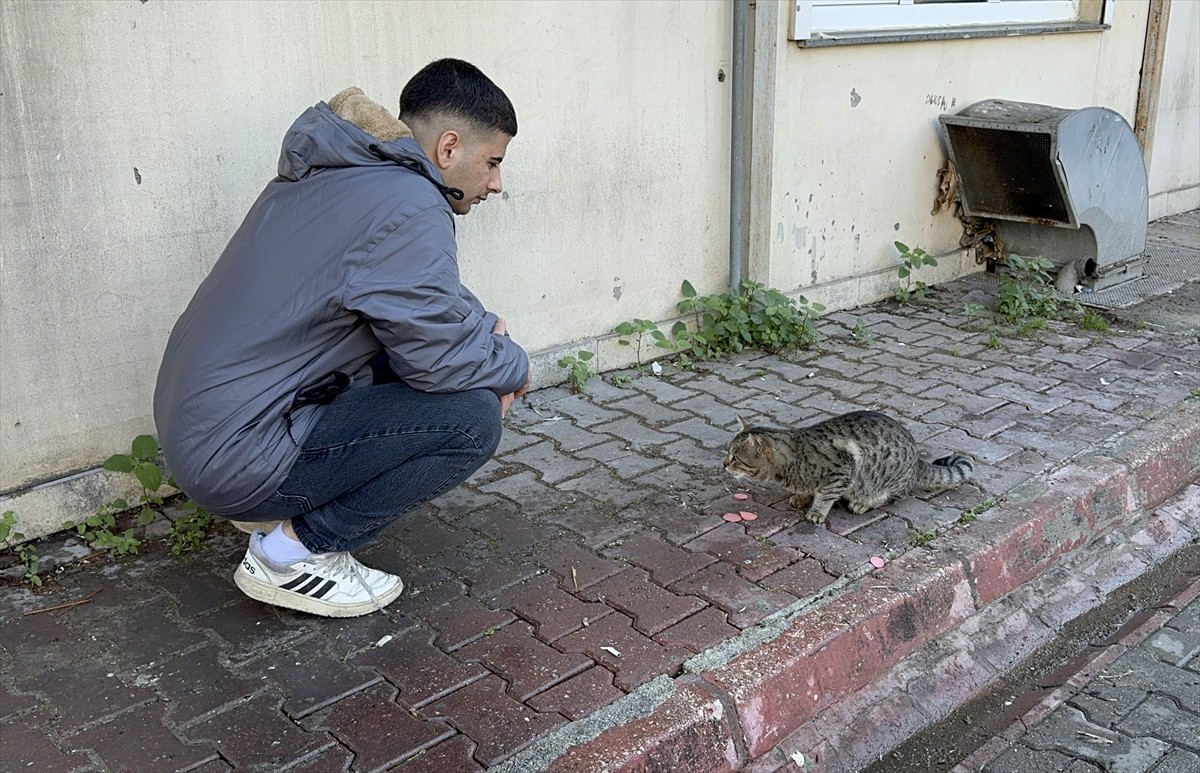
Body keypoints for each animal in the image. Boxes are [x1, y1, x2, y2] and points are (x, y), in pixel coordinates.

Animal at [720, 410, 974, 525]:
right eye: (727, 454)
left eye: (735, 458)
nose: (723, 465)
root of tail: (916, 461)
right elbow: (805, 490)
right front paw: (800, 497)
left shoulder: (840, 472)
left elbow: (824, 496)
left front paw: (816, 512)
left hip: (887, 480)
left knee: (894, 496)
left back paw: (863, 503)